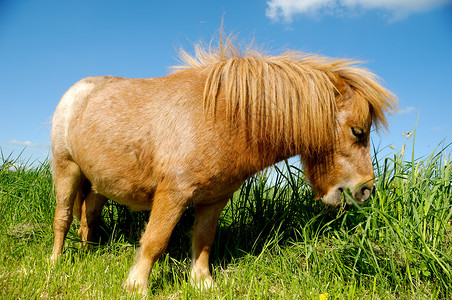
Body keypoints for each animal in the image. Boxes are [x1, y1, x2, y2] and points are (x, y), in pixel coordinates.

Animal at [48, 34, 396, 294]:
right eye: (357, 131)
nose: (365, 191)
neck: (223, 117)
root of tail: (75, 92)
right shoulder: (173, 194)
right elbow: (155, 240)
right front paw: (137, 286)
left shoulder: (214, 199)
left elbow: (203, 240)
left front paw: (202, 283)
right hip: (67, 170)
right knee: (63, 219)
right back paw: (55, 262)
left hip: (98, 184)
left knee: (88, 219)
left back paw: (89, 254)